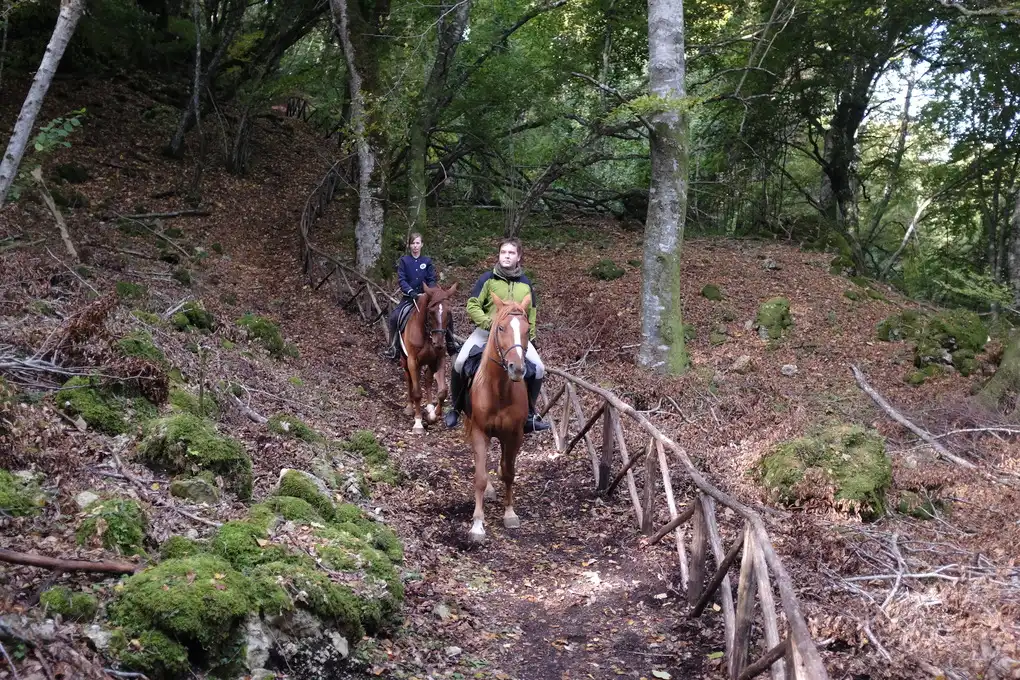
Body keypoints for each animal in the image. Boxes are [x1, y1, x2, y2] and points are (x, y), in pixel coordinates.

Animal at [401, 283, 459, 434]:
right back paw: (409, 407)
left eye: (448, 313)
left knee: (428, 378)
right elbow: (417, 393)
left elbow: (443, 391)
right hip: (404, 360)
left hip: (431, 362)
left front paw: (433, 416)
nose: (438, 343)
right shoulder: (412, 361)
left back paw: (429, 407)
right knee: (409, 379)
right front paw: (418, 423)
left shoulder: (440, 359)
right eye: (431, 312)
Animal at [463, 293, 530, 542]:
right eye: (501, 328)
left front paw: (510, 514)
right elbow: (480, 477)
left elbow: (509, 472)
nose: (517, 369)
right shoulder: (480, 431)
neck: (500, 390)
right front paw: (477, 524)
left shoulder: (515, 434)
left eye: (527, 329)